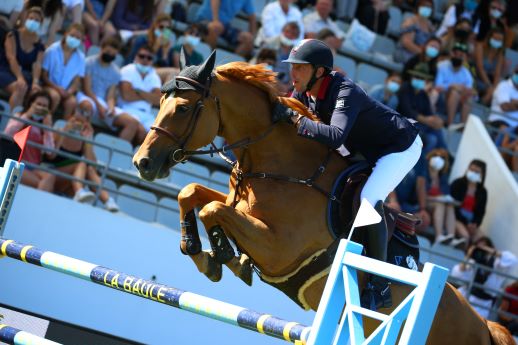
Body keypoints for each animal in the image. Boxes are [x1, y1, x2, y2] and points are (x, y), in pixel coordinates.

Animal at [132, 51, 512, 344]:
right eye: (161, 101)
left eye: (183, 108)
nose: (142, 162)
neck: (277, 162)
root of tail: (484, 325)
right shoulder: (239, 207)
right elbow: (192, 193)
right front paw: (199, 251)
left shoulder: (279, 249)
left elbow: (211, 208)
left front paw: (224, 256)